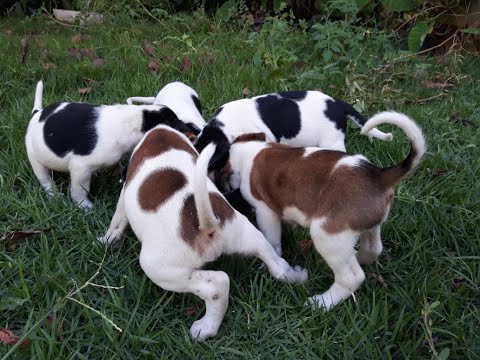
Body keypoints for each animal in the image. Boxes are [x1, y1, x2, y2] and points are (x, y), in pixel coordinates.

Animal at [24, 80, 193, 210]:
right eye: (172, 122)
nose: (191, 129)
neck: (132, 123)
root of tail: (36, 114)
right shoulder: (81, 168)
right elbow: (80, 190)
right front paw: (84, 205)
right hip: (36, 159)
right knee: (45, 179)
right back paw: (54, 195)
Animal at [98, 124, 308, 340]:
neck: (161, 132)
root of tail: (208, 226)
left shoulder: (124, 194)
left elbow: (118, 218)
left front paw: (108, 239)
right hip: (250, 237)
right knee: (277, 265)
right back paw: (297, 276)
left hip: (164, 270)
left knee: (217, 285)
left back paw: (206, 328)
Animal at [223, 111, 426, 310]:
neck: (250, 150)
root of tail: (378, 176)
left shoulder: (265, 211)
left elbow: (272, 241)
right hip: (369, 226)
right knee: (373, 249)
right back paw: (358, 257)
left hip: (326, 235)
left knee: (351, 278)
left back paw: (321, 303)